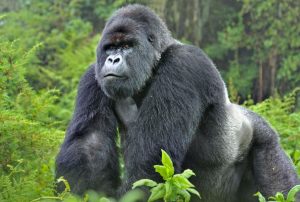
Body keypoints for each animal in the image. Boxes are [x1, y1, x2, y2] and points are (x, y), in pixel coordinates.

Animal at [55, 3, 298, 201]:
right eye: (110, 48)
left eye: (127, 46)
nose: (113, 59)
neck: (157, 60)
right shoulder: (93, 75)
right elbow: (89, 143)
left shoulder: (183, 65)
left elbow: (152, 158)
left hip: (266, 141)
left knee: (280, 186)